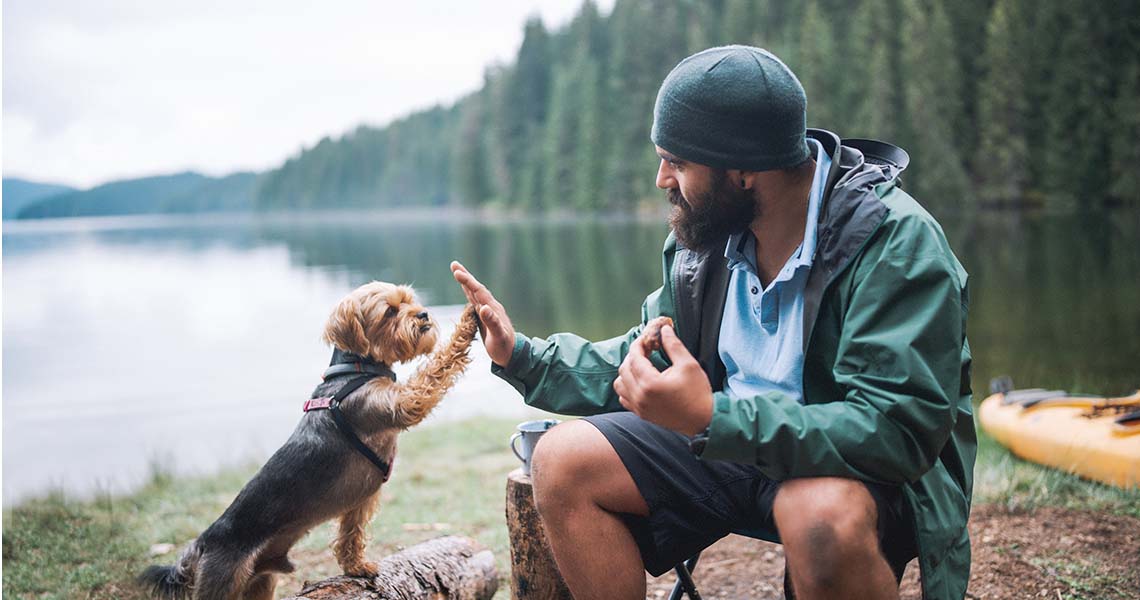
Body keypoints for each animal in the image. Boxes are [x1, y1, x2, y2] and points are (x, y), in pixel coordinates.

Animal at [140, 284, 478, 600]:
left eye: (409, 300)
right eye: (390, 311)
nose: (423, 314)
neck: (356, 370)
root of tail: (203, 541)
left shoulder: (359, 502)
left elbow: (351, 534)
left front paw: (356, 566)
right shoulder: (402, 403)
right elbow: (435, 369)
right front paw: (468, 320)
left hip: (260, 582)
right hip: (223, 581)